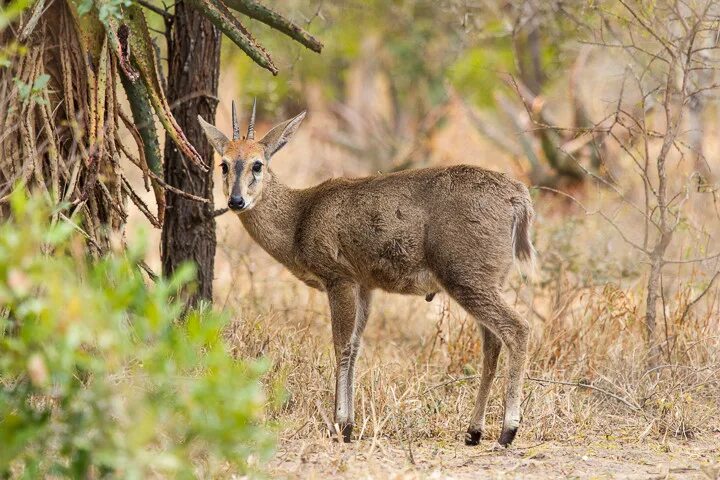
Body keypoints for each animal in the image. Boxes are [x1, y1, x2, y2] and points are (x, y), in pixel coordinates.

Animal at [197, 99, 536, 448]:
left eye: (258, 164)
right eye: (224, 164)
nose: (236, 200)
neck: (298, 220)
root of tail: (519, 198)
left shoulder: (338, 276)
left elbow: (341, 344)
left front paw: (340, 424)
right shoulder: (364, 285)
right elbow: (356, 345)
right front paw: (348, 423)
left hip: (466, 274)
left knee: (518, 328)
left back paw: (508, 431)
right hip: (487, 278)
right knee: (492, 341)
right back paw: (473, 431)